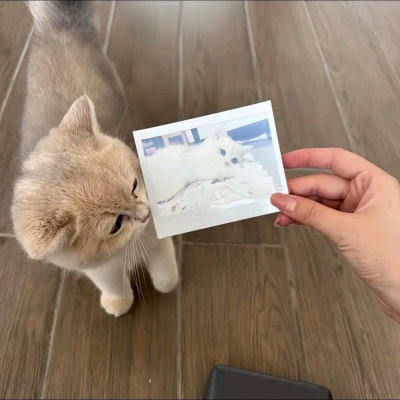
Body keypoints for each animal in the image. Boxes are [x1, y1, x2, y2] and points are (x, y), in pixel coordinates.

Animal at [11, 1, 178, 317]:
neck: (123, 251)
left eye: (134, 185)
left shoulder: (156, 239)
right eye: (116, 225)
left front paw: (167, 283)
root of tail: (59, 25)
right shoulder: (100, 270)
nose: (145, 214)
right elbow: (112, 284)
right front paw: (118, 302)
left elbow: (165, 272)